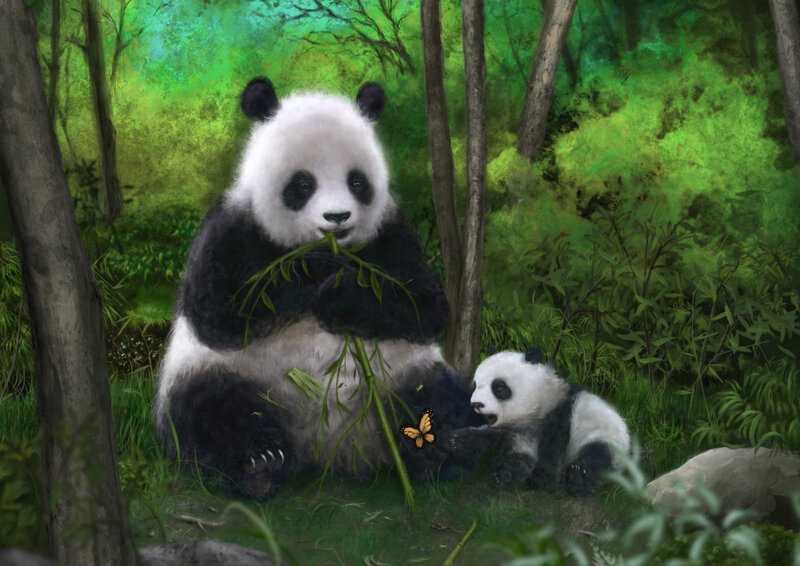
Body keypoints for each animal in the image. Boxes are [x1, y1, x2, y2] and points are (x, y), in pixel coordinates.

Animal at [155, 78, 481, 499]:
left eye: (357, 182)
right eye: (302, 184)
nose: (336, 217)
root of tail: (329, 450)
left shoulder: (390, 234)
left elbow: (425, 306)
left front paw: (339, 295)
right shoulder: (234, 227)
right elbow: (217, 310)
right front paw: (318, 270)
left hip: (402, 373)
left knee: (435, 397)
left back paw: (442, 449)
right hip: (227, 374)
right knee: (209, 411)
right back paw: (260, 464)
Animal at [451, 349, 630, 496]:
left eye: (499, 387)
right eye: (475, 385)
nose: (476, 404)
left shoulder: (559, 416)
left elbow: (551, 455)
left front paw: (540, 480)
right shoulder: (514, 430)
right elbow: (495, 438)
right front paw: (457, 441)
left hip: (609, 439)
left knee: (598, 455)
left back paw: (577, 478)